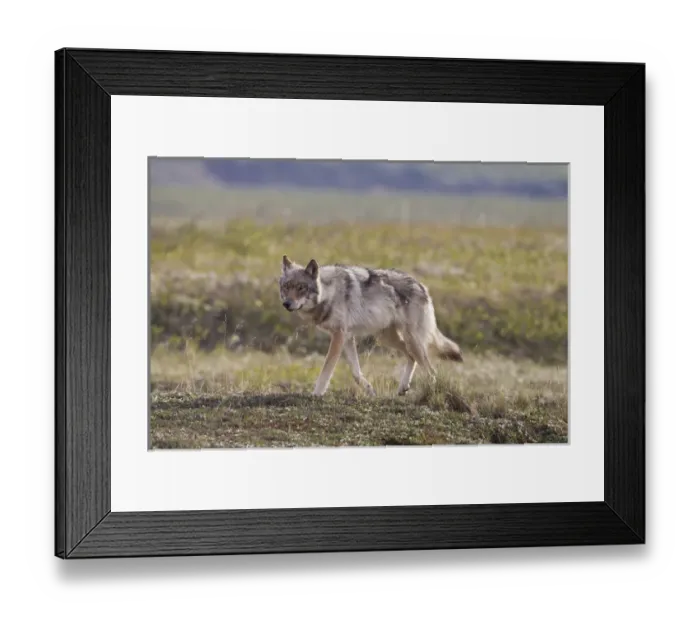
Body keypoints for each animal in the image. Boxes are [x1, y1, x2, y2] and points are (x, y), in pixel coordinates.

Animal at [278, 255, 463, 397]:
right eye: (286, 287)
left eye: (301, 287)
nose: (286, 304)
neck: (329, 292)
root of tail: (422, 286)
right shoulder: (347, 337)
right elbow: (356, 373)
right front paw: (370, 391)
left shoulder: (339, 336)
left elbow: (326, 369)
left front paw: (317, 393)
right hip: (387, 339)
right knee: (412, 357)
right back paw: (403, 388)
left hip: (410, 340)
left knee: (430, 369)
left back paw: (432, 392)